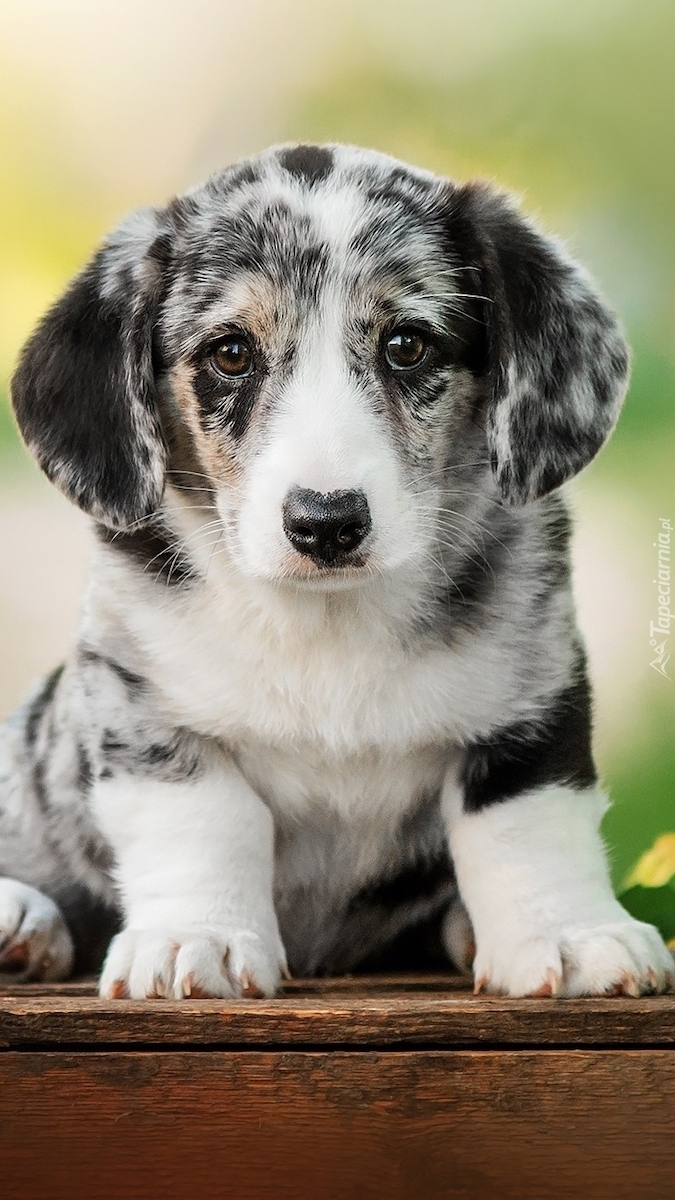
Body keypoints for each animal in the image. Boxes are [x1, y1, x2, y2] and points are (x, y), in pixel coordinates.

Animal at [2, 145, 667, 998]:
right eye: (230, 353)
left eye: (407, 345)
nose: (325, 523)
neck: (327, 620)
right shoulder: (140, 703)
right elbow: (203, 816)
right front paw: (197, 939)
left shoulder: (533, 704)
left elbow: (527, 825)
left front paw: (568, 934)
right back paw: (20, 920)